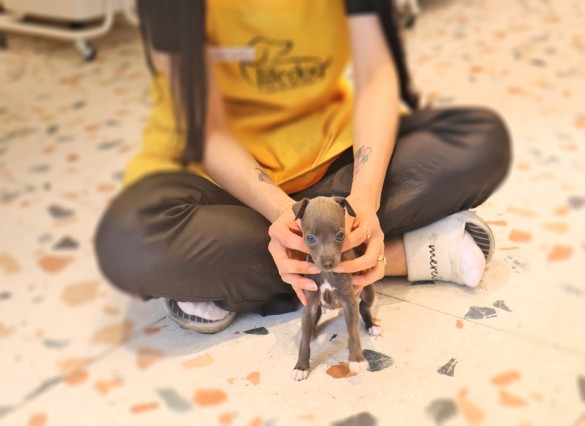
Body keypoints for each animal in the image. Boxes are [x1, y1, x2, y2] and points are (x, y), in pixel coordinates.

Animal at [291, 196, 382, 381]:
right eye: (310, 238)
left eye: (340, 235)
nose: (328, 263)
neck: (326, 274)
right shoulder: (310, 305)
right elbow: (304, 341)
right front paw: (301, 366)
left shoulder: (349, 302)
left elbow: (353, 332)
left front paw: (356, 360)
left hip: (368, 290)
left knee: (364, 307)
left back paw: (371, 325)